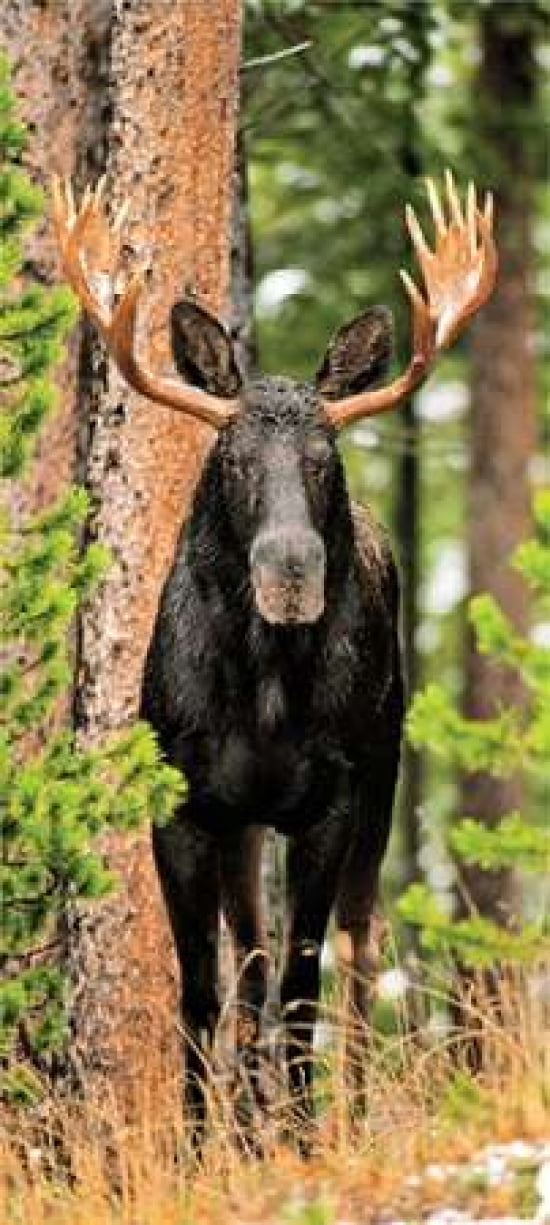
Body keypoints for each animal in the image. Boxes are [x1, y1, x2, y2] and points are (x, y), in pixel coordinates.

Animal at [52, 171, 497, 1149]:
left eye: (326, 458)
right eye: (233, 457)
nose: (292, 571)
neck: (258, 693)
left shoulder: (329, 803)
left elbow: (303, 986)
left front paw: (301, 1135)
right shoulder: (185, 805)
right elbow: (206, 989)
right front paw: (198, 1145)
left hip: (383, 778)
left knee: (359, 950)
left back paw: (345, 1110)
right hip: (245, 827)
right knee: (251, 966)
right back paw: (250, 1117)